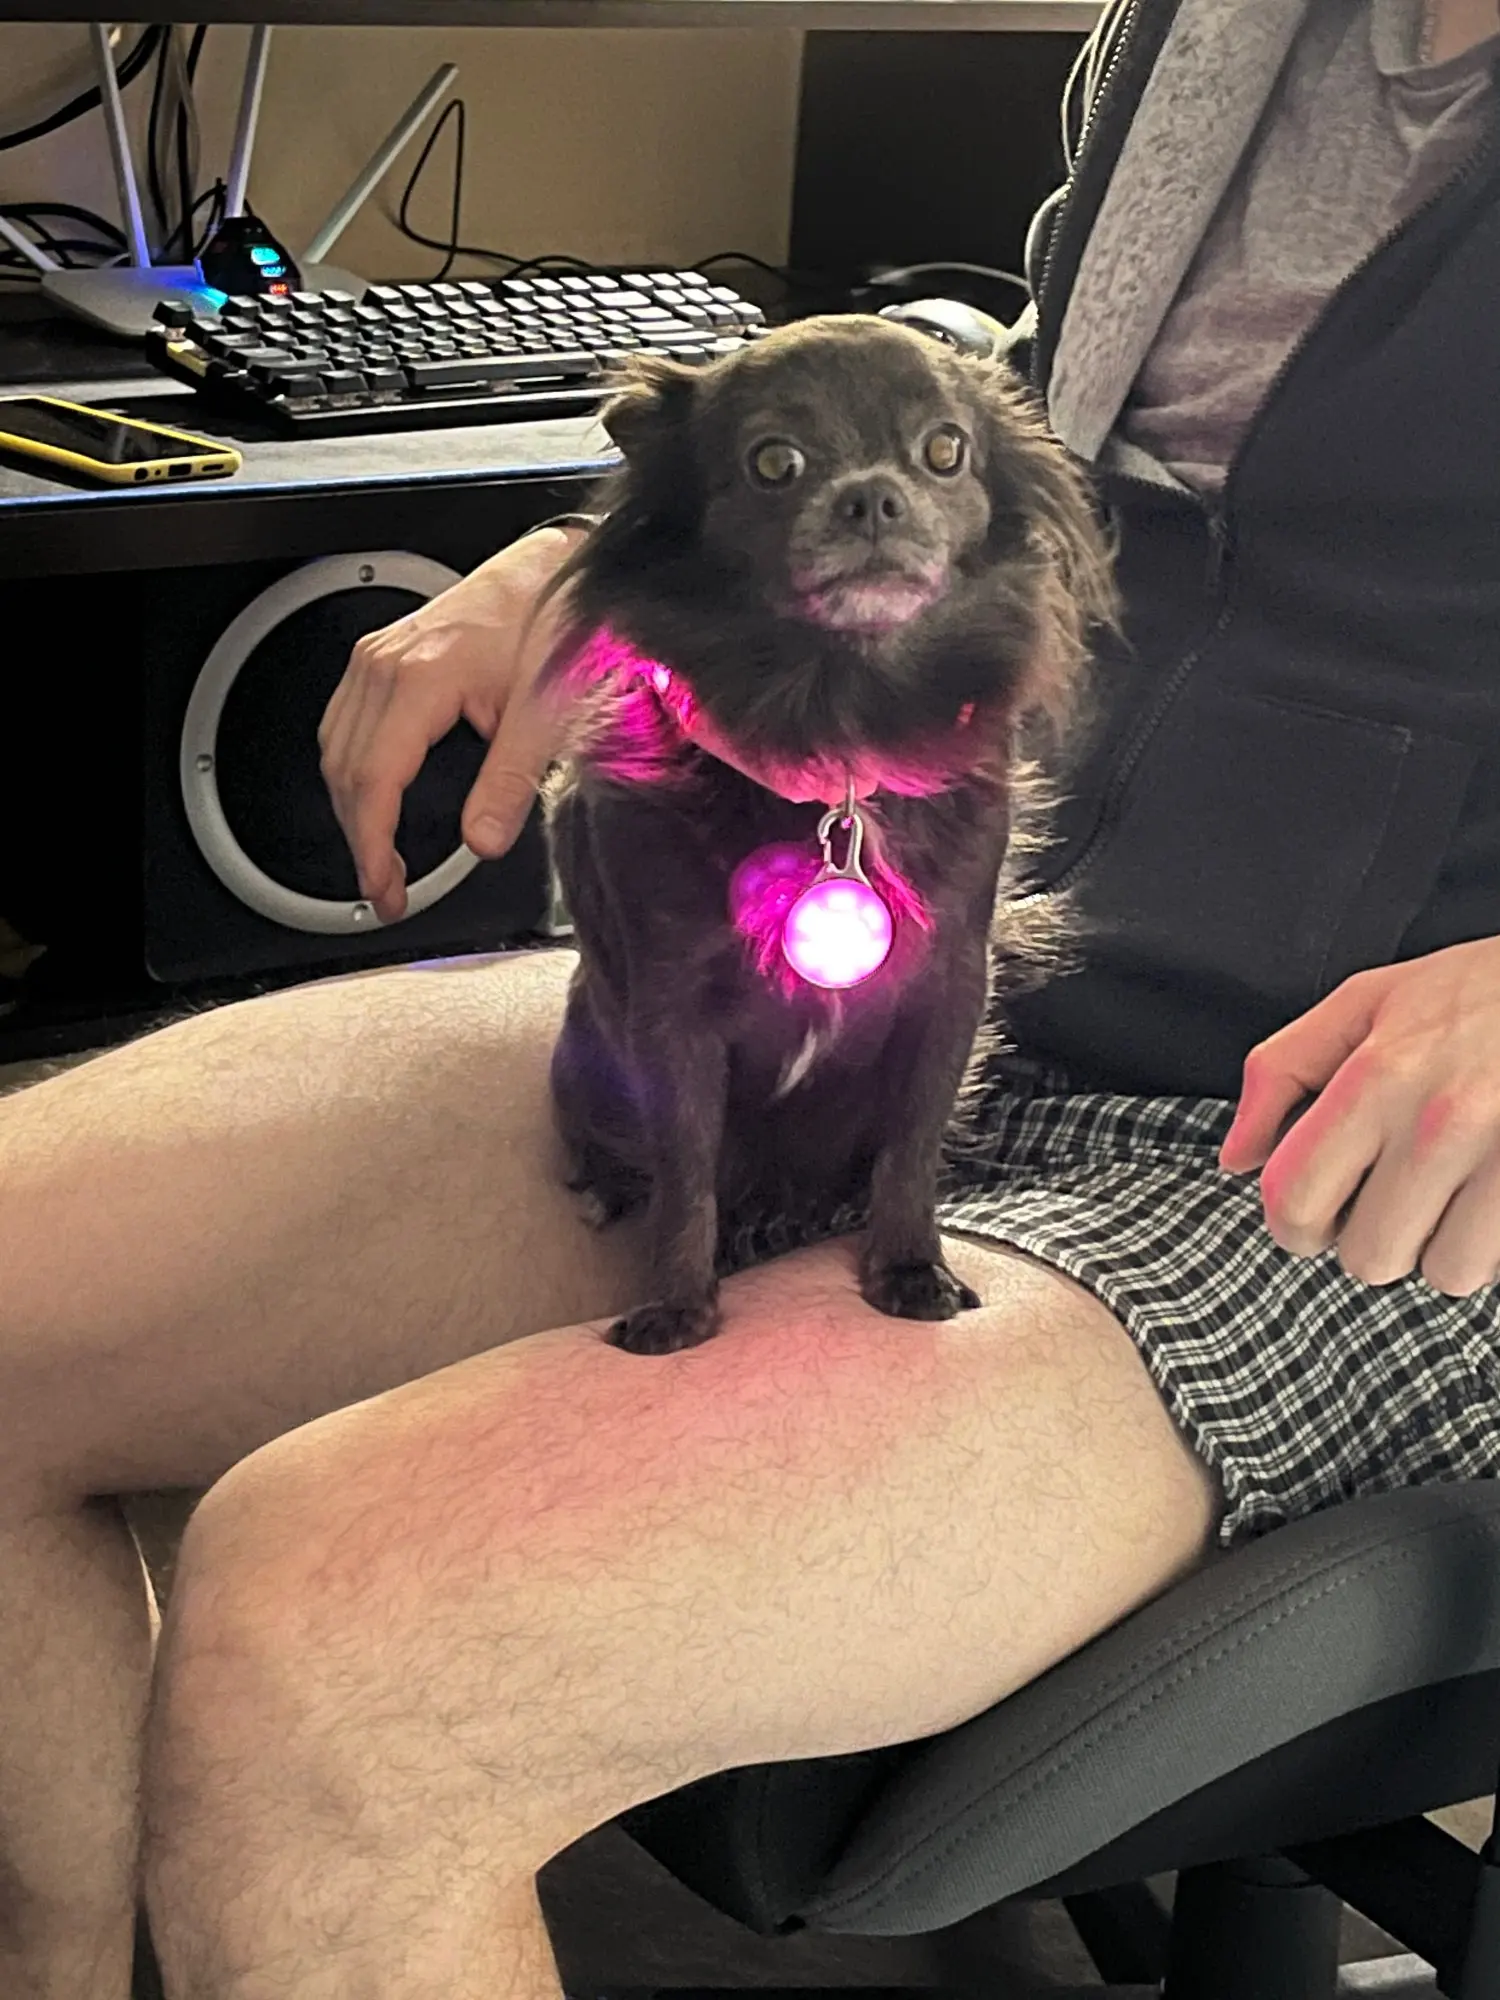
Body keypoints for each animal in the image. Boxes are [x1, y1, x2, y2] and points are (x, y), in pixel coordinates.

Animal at [539, 312, 1116, 1356]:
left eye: (944, 451)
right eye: (775, 462)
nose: (873, 496)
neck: (836, 727)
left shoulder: (949, 989)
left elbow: (912, 1147)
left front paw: (910, 1264)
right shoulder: (670, 1016)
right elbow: (685, 1170)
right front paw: (676, 1301)